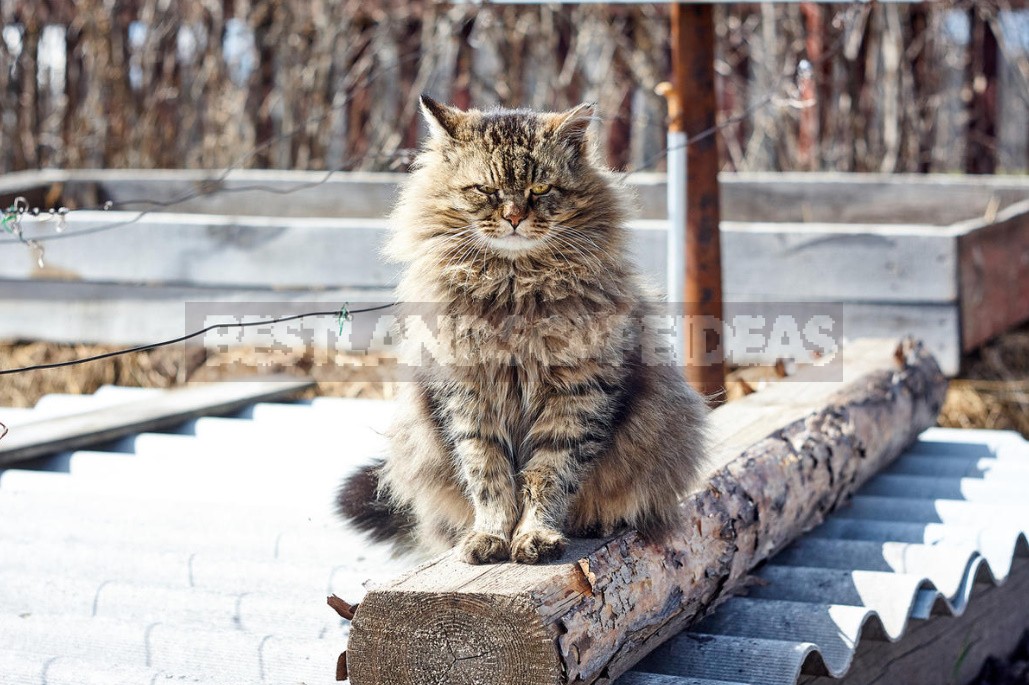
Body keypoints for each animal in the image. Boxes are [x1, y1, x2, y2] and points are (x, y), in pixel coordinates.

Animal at [337, 97, 707, 563]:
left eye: (540, 190)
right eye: (485, 191)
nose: (514, 217)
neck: (515, 288)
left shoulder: (578, 394)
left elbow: (549, 474)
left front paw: (535, 535)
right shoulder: (469, 394)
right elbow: (488, 475)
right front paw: (491, 536)